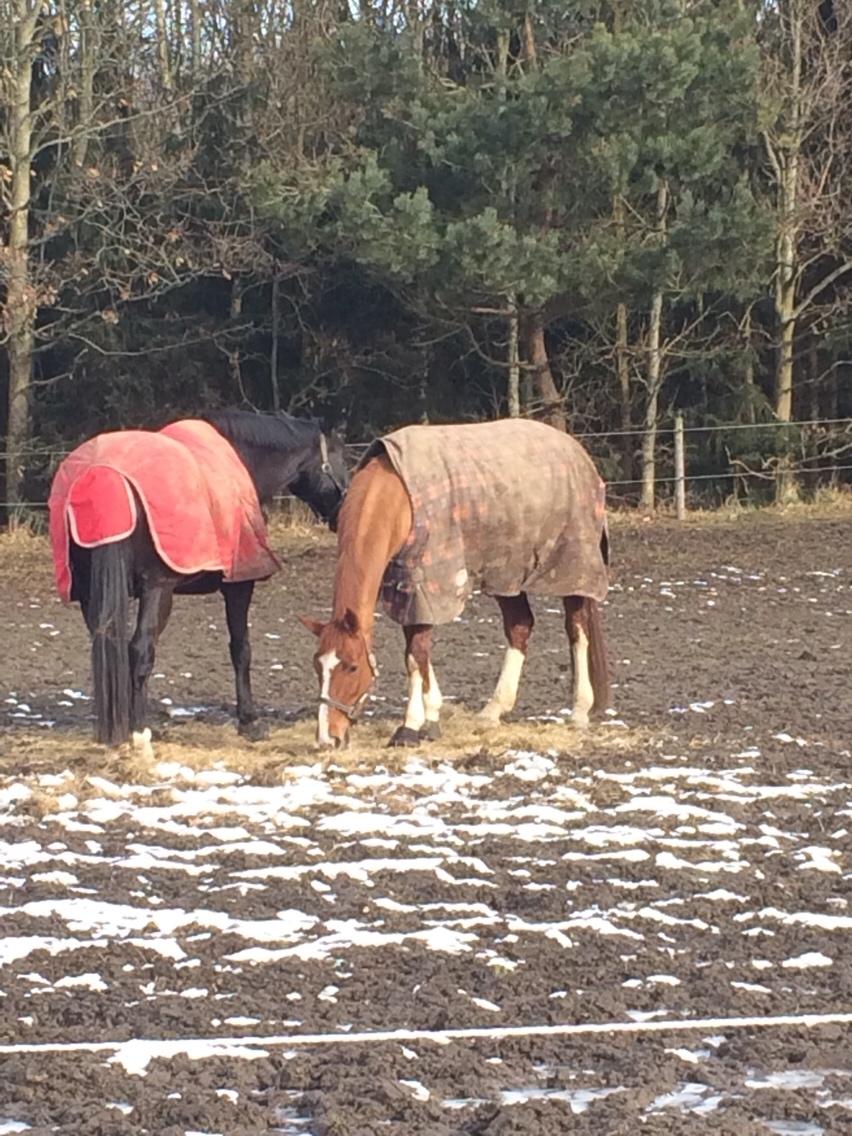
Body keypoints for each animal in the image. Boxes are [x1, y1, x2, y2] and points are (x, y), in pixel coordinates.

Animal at [58, 413, 347, 749]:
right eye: (343, 460)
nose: (343, 514)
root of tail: (103, 475)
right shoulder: (238, 585)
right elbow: (241, 649)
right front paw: (249, 721)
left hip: (91, 592)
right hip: (158, 590)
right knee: (140, 650)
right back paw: (140, 729)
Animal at [304, 424, 608, 745]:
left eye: (351, 666)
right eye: (317, 666)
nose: (327, 738)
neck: (398, 499)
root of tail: (578, 453)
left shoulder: (426, 583)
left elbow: (416, 655)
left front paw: (411, 725)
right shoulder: (407, 588)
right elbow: (415, 652)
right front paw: (430, 718)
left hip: (573, 568)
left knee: (577, 630)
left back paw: (579, 711)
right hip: (506, 574)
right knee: (520, 626)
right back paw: (493, 710)